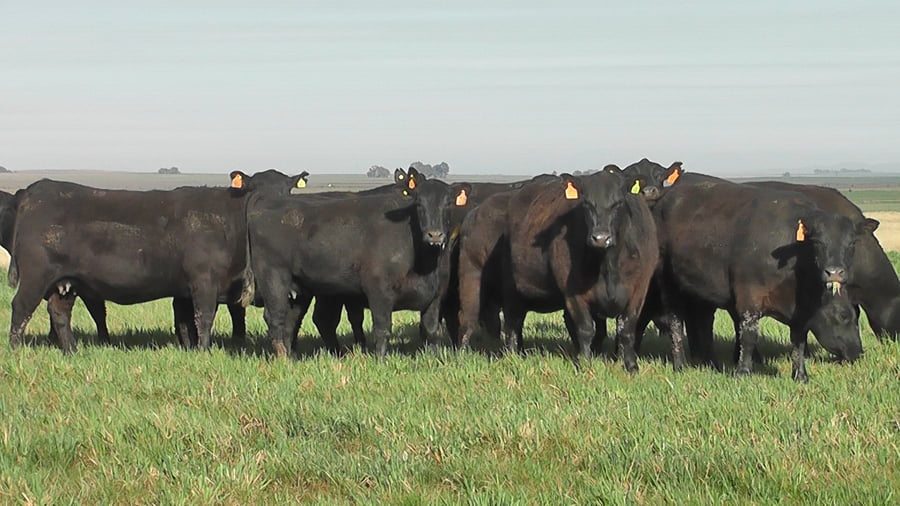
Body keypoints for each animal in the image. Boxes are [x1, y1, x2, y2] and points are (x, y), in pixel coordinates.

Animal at [7, 170, 305, 353]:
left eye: (288, 191)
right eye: (254, 190)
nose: (274, 210)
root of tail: (39, 188)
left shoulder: (188, 289)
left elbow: (186, 322)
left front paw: (190, 348)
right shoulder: (204, 281)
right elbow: (204, 317)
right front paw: (204, 351)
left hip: (66, 282)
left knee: (59, 313)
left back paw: (71, 350)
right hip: (36, 275)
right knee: (21, 308)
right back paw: (15, 350)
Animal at [248, 167, 471, 357]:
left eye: (448, 203)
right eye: (418, 204)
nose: (435, 234)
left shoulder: (435, 296)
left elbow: (431, 330)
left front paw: (434, 358)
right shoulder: (379, 292)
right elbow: (382, 329)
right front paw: (380, 360)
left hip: (301, 287)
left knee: (292, 320)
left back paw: (292, 357)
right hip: (273, 277)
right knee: (275, 316)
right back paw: (282, 358)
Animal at [650, 173, 870, 381]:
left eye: (852, 243)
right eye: (817, 242)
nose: (834, 272)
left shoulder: (801, 312)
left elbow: (799, 340)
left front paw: (800, 375)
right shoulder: (748, 298)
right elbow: (748, 336)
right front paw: (743, 372)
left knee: (703, 325)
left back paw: (711, 363)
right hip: (669, 284)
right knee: (676, 323)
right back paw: (680, 365)